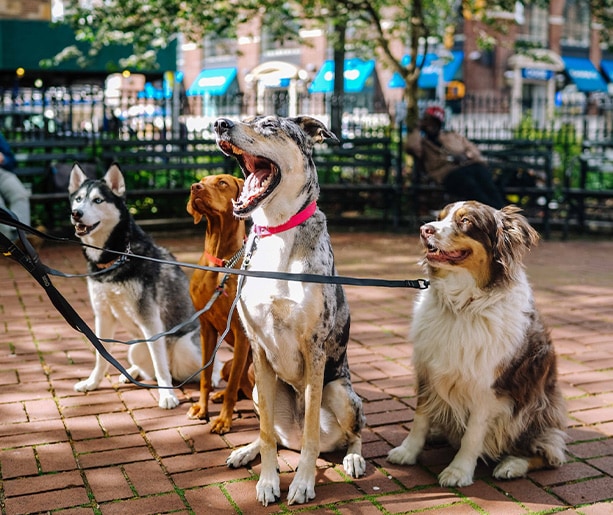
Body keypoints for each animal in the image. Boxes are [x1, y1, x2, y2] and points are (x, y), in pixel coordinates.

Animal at [68, 163, 201, 410]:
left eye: (98, 200)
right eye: (78, 199)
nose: (76, 213)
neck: (115, 257)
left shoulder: (150, 319)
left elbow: (160, 365)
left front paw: (167, 395)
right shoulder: (103, 315)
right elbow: (101, 356)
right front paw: (92, 383)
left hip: (184, 347)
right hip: (136, 348)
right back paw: (132, 373)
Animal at [213, 118, 366, 508]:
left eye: (269, 125)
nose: (220, 123)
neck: (277, 230)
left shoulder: (314, 349)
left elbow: (311, 433)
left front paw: (302, 483)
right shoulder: (258, 349)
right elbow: (267, 433)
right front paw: (268, 482)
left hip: (341, 393)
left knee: (353, 434)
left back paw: (353, 458)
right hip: (256, 389)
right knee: (276, 435)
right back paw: (245, 451)